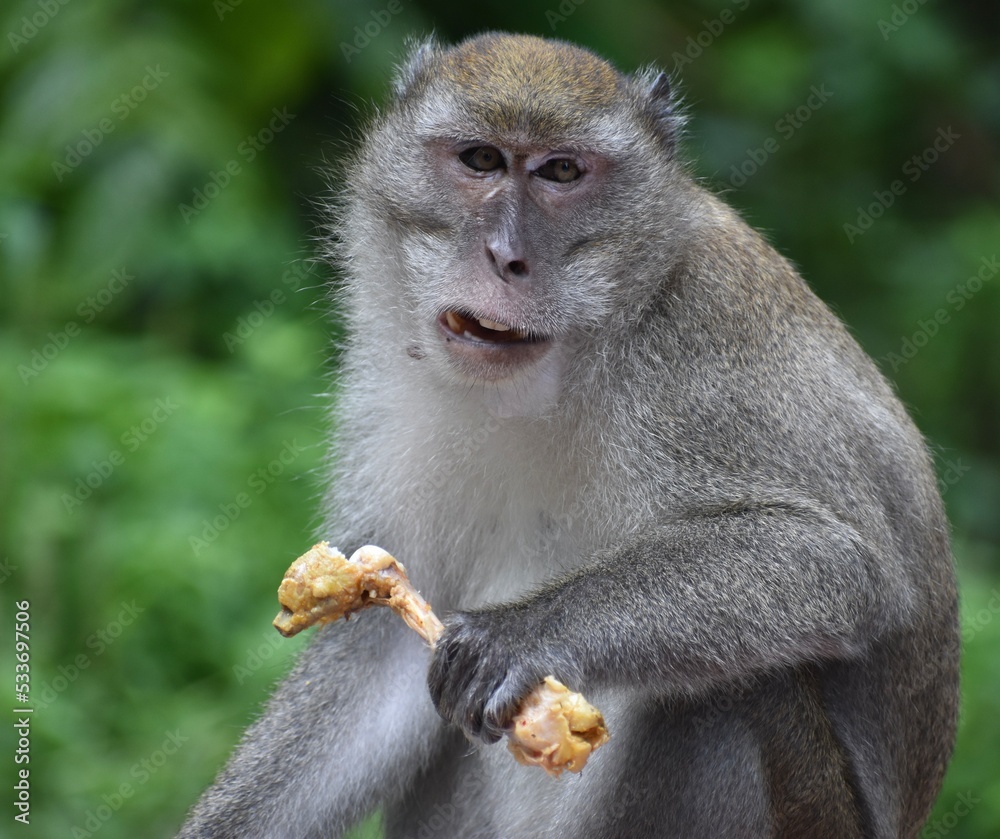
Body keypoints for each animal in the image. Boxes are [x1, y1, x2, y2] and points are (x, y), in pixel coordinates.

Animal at [179, 32, 959, 838]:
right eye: (482, 160)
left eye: (561, 171)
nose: (506, 256)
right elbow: (382, 654)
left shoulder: (697, 353)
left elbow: (835, 564)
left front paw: (521, 636)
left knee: (737, 691)